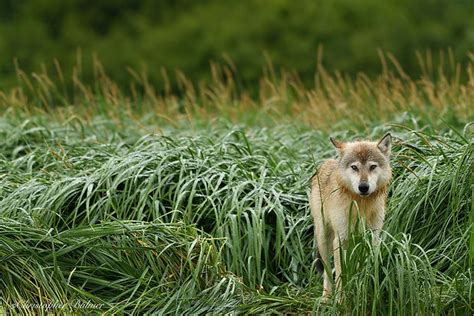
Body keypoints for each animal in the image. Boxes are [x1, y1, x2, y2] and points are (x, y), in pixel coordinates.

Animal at [310, 133, 390, 298]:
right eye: (354, 167)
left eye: (372, 167)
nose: (363, 187)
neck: (361, 205)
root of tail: (326, 163)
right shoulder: (341, 240)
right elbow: (340, 275)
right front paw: (342, 300)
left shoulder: (373, 237)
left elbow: (368, 268)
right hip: (323, 238)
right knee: (328, 273)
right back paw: (326, 298)